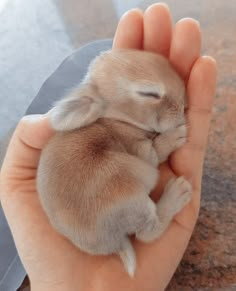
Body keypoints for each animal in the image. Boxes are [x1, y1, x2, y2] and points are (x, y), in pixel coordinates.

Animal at [37, 49, 192, 276]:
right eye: (149, 94)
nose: (183, 106)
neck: (117, 120)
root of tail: (113, 244)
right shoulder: (141, 150)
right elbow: (157, 150)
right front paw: (177, 135)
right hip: (131, 191)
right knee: (147, 233)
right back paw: (178, 192)